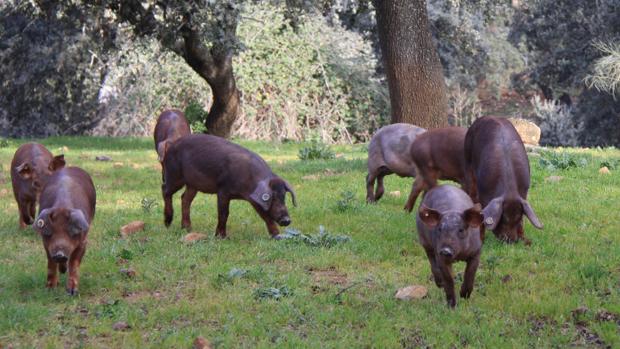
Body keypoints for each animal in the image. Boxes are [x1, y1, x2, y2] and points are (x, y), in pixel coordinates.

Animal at [33, 166, 95, 294]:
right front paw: (50, 288)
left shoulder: (83, 241)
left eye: (71, 231)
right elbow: (50, 263)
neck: (62, 206)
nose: (59, 254)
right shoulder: (45, 242)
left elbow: (74, 263)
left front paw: (72, 292)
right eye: (51, 231)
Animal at [162, 132, 298, 238]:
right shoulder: (223, 190)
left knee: (184, 198)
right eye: (272, 197)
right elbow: (224, 213)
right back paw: (168, 223)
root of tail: (171, 146)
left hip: (193, 184)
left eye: (283, 197)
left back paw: (187, 228)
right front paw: (222, 237)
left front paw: (277, 235)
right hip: (174, 175)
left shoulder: (254, 199)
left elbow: (265, 216)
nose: (287, 220)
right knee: (165, 190)